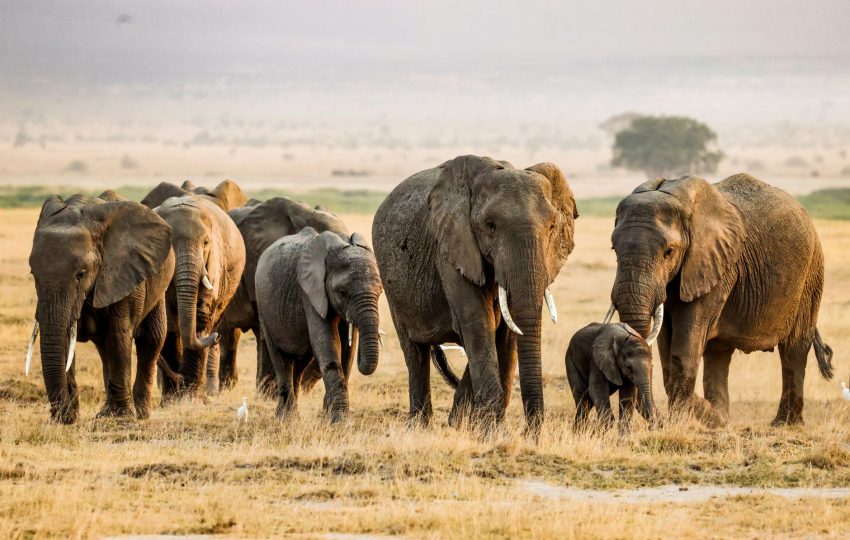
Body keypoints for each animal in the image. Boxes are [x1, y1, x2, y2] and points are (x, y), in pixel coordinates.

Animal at [27, 191, 174, 423]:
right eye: (33, 273)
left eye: (81, 274)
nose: (63, 417)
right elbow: (65, 340)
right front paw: (69, 418)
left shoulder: (122, 274)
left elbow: (118, 336)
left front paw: (123, 421)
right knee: (105, 349)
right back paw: (106, 413)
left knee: (150, 339)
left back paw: (140, 414)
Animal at [153, 193, 246, 398]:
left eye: (205, 243)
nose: (216, 337)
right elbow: (168, 321)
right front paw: (172, 398)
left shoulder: (213, 261)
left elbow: (202, 314)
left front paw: (188, 396)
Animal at [255, 227, 382, 423]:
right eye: (342, 292)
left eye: (380, 291)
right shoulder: (309, 292)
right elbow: (328, 342)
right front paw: (338, 422)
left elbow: (347, 351)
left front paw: (329, 415)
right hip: (263, 307)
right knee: (280, 359)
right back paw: (285, 419)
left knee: (300, 362)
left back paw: (294, 415)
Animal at [372, 155, 577, 431]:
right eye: (490, 226)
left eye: (553, 226)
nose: (529, 433)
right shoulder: (451, 246)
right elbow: (477, 322)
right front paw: (489, 431)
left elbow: (505, 331)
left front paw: (483, 428)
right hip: (391, 282)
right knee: (415, 352)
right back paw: (418, 426)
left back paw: (454, 423)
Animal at [606, 174, 834, 427]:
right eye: (614, 249)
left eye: (669, 251)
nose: (660, 421)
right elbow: (667, 345)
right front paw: (705, 419)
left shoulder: (717, 267)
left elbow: (684, 349)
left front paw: (701, 418)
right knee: (718, 354)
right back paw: (724, 416)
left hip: (811, 274)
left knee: (794, 349)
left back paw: (783, 424)